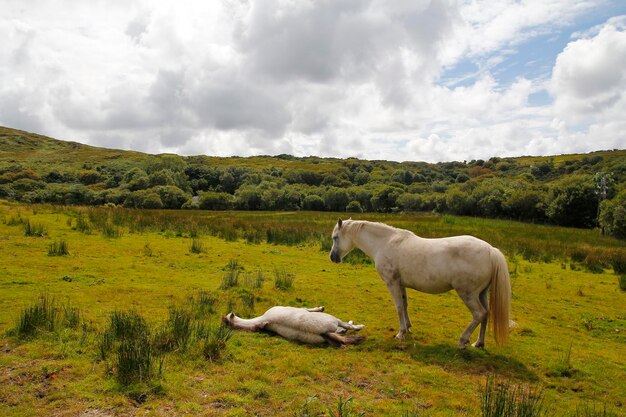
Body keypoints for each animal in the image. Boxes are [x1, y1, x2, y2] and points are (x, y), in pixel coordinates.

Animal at [222, 304, 364, 346]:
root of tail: (323, 332)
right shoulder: (302, 309)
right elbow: (308, 308)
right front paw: (320, 307)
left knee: (341, 331)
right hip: (334, 319)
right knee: (346, 326)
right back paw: (358, 325)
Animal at [326, 218, 508, 348]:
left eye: (335, 238)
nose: (332, 258)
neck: (385, 243)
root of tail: (490, 250)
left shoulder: (392, 283)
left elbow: (399, 307)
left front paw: (400, 333)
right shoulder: (401, 284)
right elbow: (405, 305)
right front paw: (408, 328)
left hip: (468, 294)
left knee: (479, 314)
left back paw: (463, 341)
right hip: (481, 293)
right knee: (486, 314)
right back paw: (478, 343)